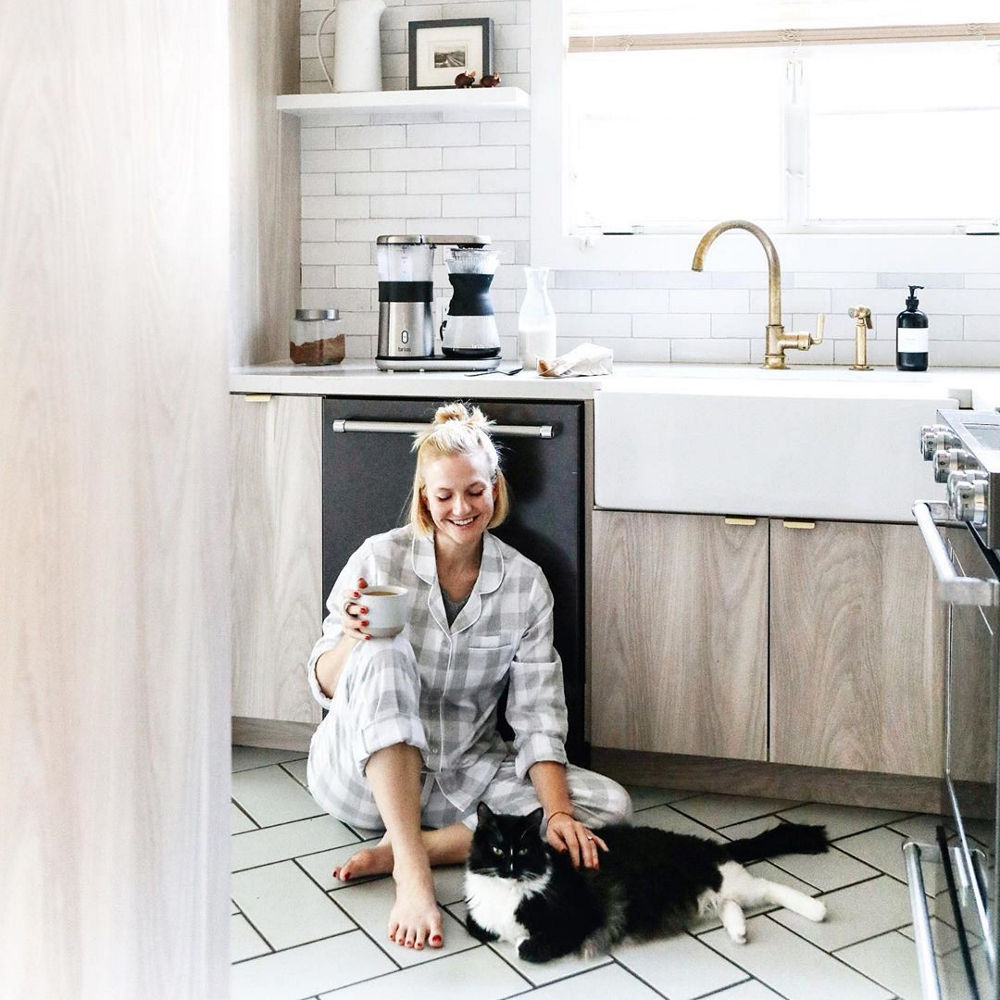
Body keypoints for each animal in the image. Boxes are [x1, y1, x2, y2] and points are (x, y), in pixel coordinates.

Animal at [464, 804, 832, 960]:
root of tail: (709, 845)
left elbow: (531, 947)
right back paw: (739, 934)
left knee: (768, 887)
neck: (508, 893)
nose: (509, 867)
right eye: (497, 849)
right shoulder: (477, 919)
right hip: (715, 893)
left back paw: (817, 910)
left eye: (523, 850)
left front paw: (522, 943)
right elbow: (482, 928)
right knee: (731, 905)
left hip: (728, 879)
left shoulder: (579, 918)